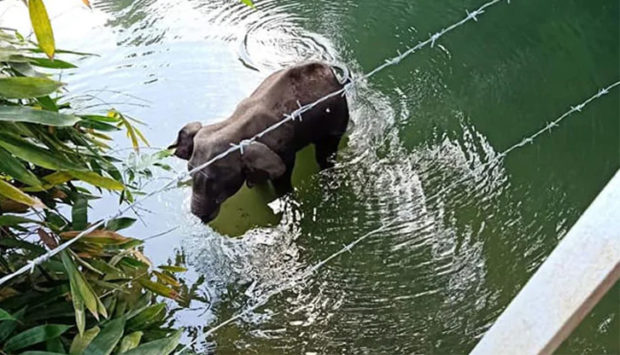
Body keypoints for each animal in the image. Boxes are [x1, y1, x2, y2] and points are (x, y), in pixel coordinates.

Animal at [170, 61, 352, 222]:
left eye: (214, 181)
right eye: (190, 170)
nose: (200, 217)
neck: (233, 123)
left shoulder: (282, 150)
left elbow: (282, 178)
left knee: (325, 154)